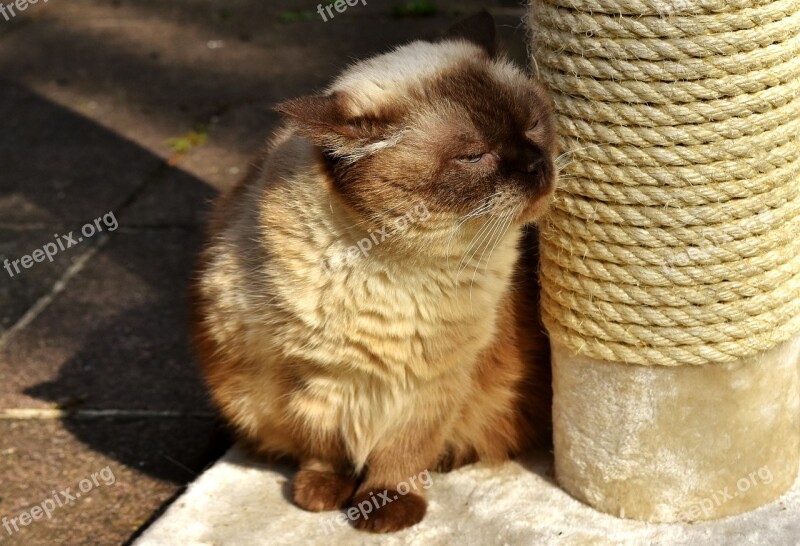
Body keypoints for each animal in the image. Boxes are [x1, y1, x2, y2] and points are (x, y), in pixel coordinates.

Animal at [194, 9, 556, 532]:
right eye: (473, 156)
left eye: (532, 126)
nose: (537, 165)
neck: (402, 266)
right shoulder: (311, 381)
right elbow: (324, 450)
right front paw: (322, 496)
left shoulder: (433, 385)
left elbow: (401, 456)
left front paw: (385, 510)